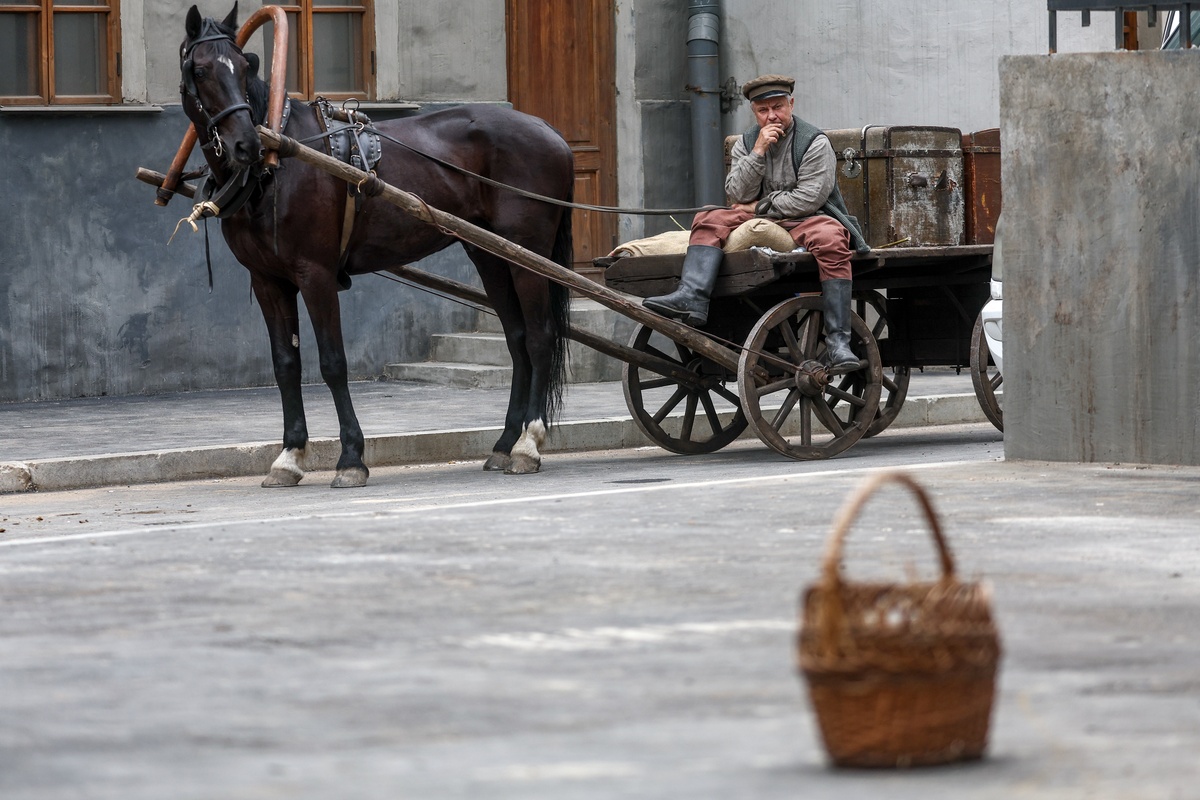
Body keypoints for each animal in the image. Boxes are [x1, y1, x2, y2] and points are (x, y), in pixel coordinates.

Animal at [177, 4, 574, 488]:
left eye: (244, 64)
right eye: (200, 69)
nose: (246, 145)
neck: (278, 164)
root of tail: (547, 129)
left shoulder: (315, 274)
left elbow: (332, 362)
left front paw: (351, 457)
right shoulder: (268, 280)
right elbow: (285, 364)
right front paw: (289, 455)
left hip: (528, 255)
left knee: (539, 336)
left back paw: (527, 444)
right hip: (491, 255)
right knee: (517, 340)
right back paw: (503, 444)